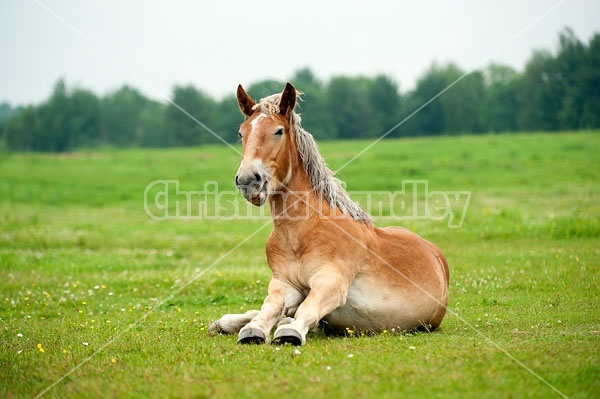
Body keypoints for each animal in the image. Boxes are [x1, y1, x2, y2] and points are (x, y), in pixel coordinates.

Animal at [209, 83, 448, 346]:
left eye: (279, 131)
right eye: (241, 133)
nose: (248, 180)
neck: (302, 232)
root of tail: (436, 254)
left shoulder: (331, 281)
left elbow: (307, 309)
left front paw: (289, 332)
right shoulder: (284, 284)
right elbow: (269, 307)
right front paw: (252, 329)